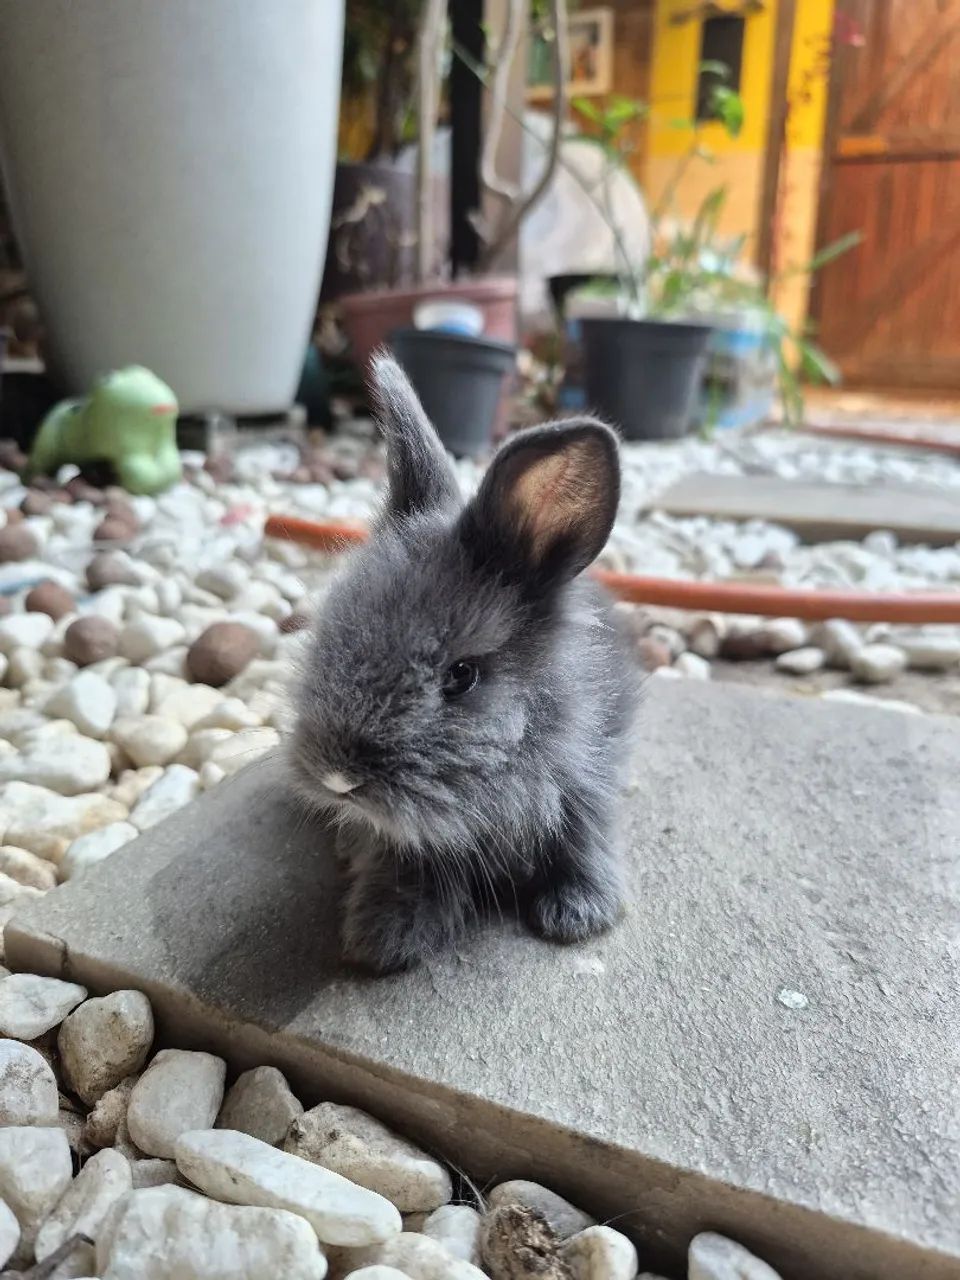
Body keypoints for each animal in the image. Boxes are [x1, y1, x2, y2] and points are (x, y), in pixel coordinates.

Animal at [286, 353, 640, 973]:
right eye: (329, 628)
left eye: (461, 676)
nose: (336, 777)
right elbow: (405, 865)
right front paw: (384, 937)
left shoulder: (587, 785)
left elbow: (584, 843)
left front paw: (578, 916)